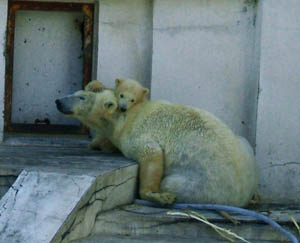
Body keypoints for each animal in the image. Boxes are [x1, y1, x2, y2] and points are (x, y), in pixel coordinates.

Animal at [55, 80, 258, 206]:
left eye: (81, 97)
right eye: (76, 92)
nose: (58, 101)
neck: (128, 115)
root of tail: (244, 192)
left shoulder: (136, 133)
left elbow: (151, 153)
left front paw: (155, 195)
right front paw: (98, 143)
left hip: (204, 187)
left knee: (172, 183)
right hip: (244, 146)